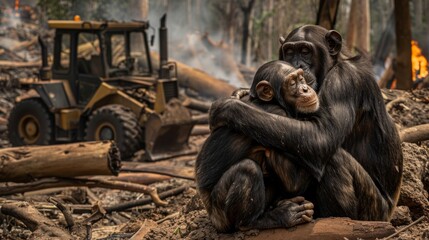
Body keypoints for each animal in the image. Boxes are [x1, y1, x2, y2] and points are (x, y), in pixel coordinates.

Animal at [195, 60, 314, 232]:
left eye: (301, 78)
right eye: (292, 83)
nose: (305, 88)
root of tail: (213, 220)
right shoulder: (279, 112)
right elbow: (294, 183)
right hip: (220, 215)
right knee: (248, 169)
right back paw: (273, 217)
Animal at [207, 25, 402, 221]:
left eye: (305, 51)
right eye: (289, 52)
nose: (297, 65)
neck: (331, 67)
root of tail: (390, 212)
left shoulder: (344, 81)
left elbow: (321, 136)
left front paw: (225, 107)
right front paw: (241, 92)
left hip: (373, 212)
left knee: (333, 156)